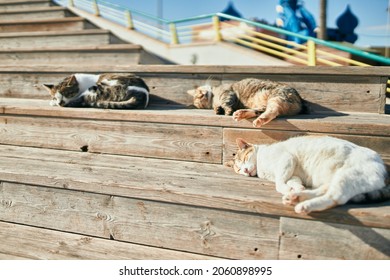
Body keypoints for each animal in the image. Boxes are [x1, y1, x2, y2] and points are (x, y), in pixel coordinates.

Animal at [227, 135, 388, 212]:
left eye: (244, 159)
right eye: (239, 170)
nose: (245, 170)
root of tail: (384, 169)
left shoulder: (286, 160)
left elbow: (279, 182)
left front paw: (285, 188)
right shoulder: (293, 174)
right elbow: (293, 181)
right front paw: (296, 188)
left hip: (348, 176)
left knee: (335, 197)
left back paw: (303, 205)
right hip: (336, 179)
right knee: (324, 191)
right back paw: (296, 196)